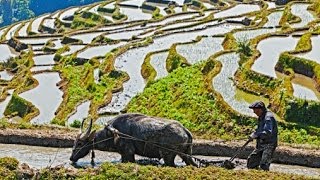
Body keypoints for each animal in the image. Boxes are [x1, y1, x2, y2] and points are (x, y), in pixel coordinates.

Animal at [70, 113, 198, 167]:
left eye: (80, 143)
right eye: (74, 142)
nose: (71, 158)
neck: (112, 133)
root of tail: (185, 130)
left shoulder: (129, 153)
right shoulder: (123, 155)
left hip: (168, 156)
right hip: (186, 154)